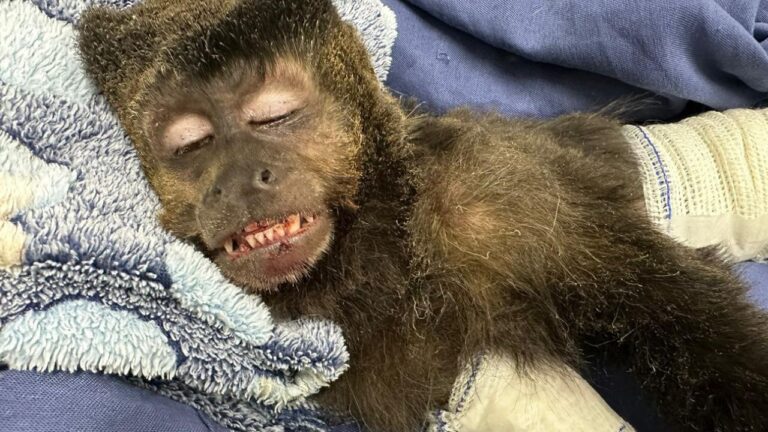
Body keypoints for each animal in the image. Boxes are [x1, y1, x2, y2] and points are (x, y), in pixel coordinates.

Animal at [76, 0, 768, 430]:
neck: (379, 254)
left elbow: (675, 304)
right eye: (191, 145)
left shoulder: (499, 194)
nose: (240, 180)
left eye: (273, 115)